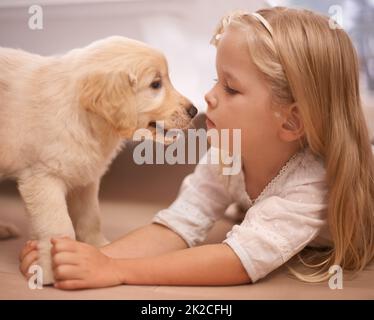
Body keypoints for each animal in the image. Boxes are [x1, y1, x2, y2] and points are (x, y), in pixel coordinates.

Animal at [0, 36, 199, 284]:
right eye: (155, 84)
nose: (194, 110)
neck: (86, 118)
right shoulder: (43, 177)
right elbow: (57, 225)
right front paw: (48, 269)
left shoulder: (86, 176)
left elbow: (91, 216)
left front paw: (98, 249)